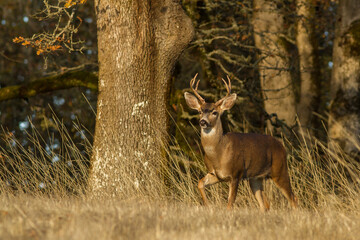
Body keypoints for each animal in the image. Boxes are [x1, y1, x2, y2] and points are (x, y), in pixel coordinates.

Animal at [184, 73, 296, 212]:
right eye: (200, 111)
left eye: (215, 112)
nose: (203, 122)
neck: (218, 154)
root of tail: (282, 146)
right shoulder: (215, 174)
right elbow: (200, 183)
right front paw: (208, 205)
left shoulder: (236, 174)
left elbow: (230, 203)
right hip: (255, 178)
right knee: (265, 204)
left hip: (280, 170)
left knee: (293, 198)